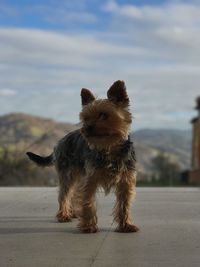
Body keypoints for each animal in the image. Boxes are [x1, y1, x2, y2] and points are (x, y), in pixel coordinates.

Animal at [27, 80, 139, 233]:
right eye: (86, 118)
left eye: (103, 115)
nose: (87, 127)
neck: (108, 148)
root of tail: (60, 142)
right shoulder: (90, 179)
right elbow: (88, 202)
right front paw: (88, 226)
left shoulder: (126, 181)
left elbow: (124, 204)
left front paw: (125, 225)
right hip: (67, 173)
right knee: (65, 194)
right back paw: (64, 215)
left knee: (73, 193)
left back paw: (73, 213)